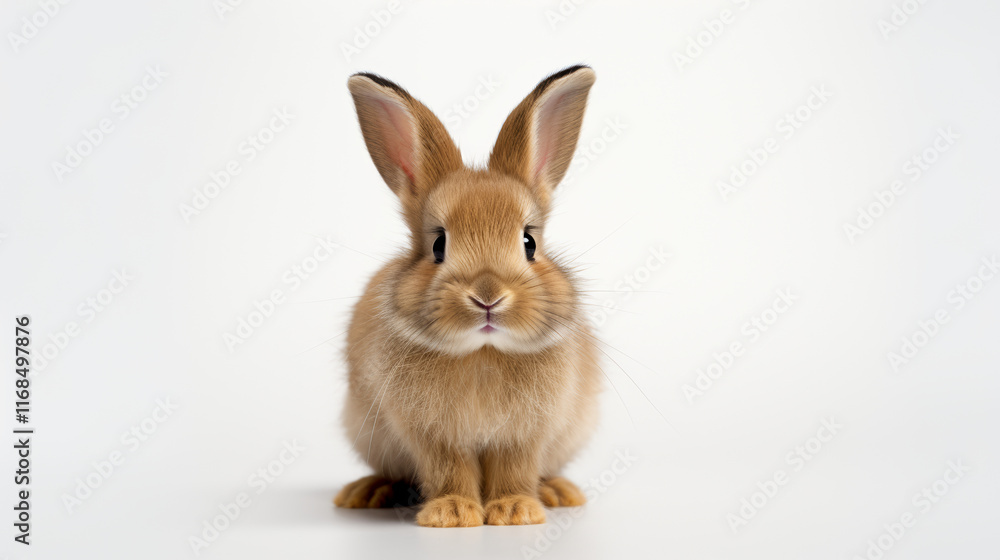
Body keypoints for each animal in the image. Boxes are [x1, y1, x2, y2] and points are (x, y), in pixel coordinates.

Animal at [334, 65, 602, 527]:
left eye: (529, 243)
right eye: (438, 244)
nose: (487, 297)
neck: (483, 351)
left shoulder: (524, 435)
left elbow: (515, 470)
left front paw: (515, 511)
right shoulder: (433, 436)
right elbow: (449, 471)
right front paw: (452, 514)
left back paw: (557, 491)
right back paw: (367, 492)